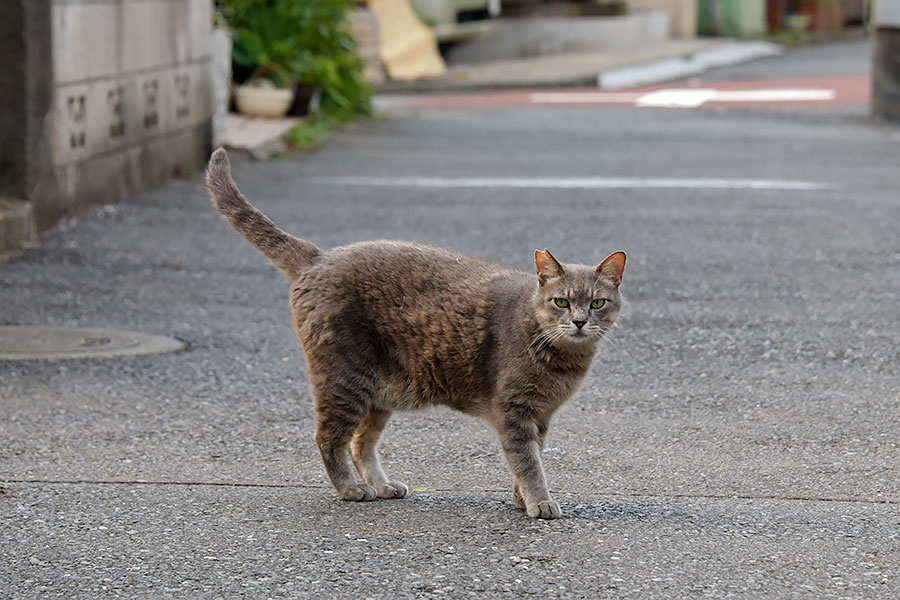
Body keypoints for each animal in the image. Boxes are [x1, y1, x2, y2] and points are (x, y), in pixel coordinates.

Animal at [207, 148, 624, 516]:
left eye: (597, 303)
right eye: (561, 302)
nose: (580, 321)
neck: (562, 362)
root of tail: (319, 256)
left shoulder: (540, 417)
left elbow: (528, 460)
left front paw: (522, 500)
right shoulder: (515, 412)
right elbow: (528, 463)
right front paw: (539, 502)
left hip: (377, 393)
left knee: (360, 442)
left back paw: (381, 485)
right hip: (344, 379)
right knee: (329, 438)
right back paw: (351, 488)